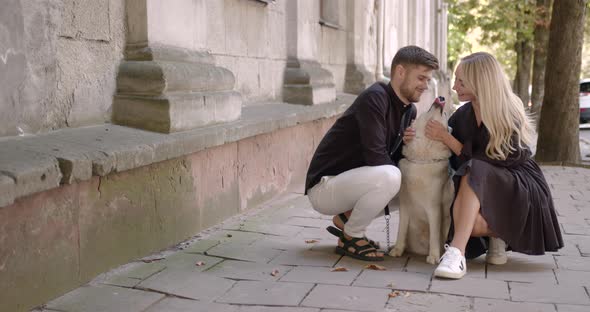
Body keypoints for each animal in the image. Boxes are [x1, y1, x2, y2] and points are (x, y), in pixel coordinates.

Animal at [394, 97, 458, 264]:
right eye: (428, 109)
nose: (441, 98)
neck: (422, 160)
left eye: (445, 114)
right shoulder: (404, 205)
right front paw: (397, 249)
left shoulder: (434, 208)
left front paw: (434, 256)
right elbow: (401, 229)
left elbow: (434, 234)